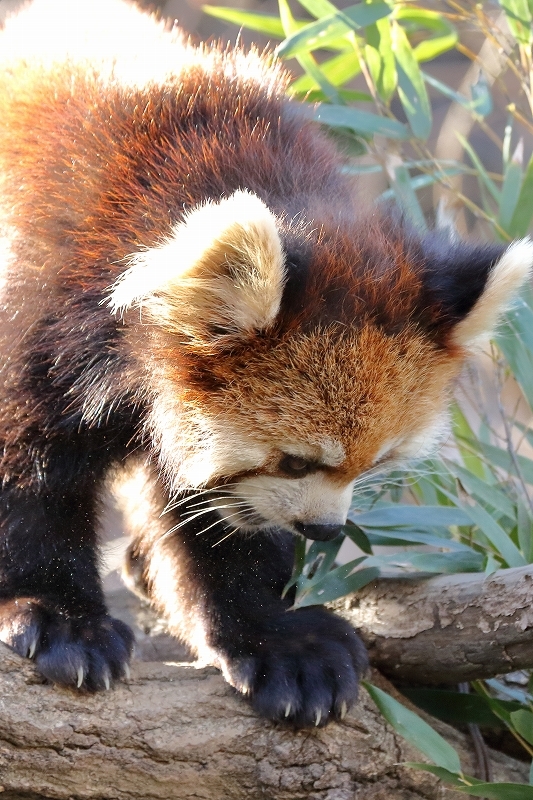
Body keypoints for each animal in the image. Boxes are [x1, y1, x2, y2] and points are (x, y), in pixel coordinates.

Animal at [0, 0, 528, 728]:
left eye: (377, 464)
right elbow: (29, 471)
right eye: (297, 460)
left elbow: (218, 518)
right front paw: (57, 618)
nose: (323, 528)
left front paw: (279, 642)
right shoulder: (41, 288)